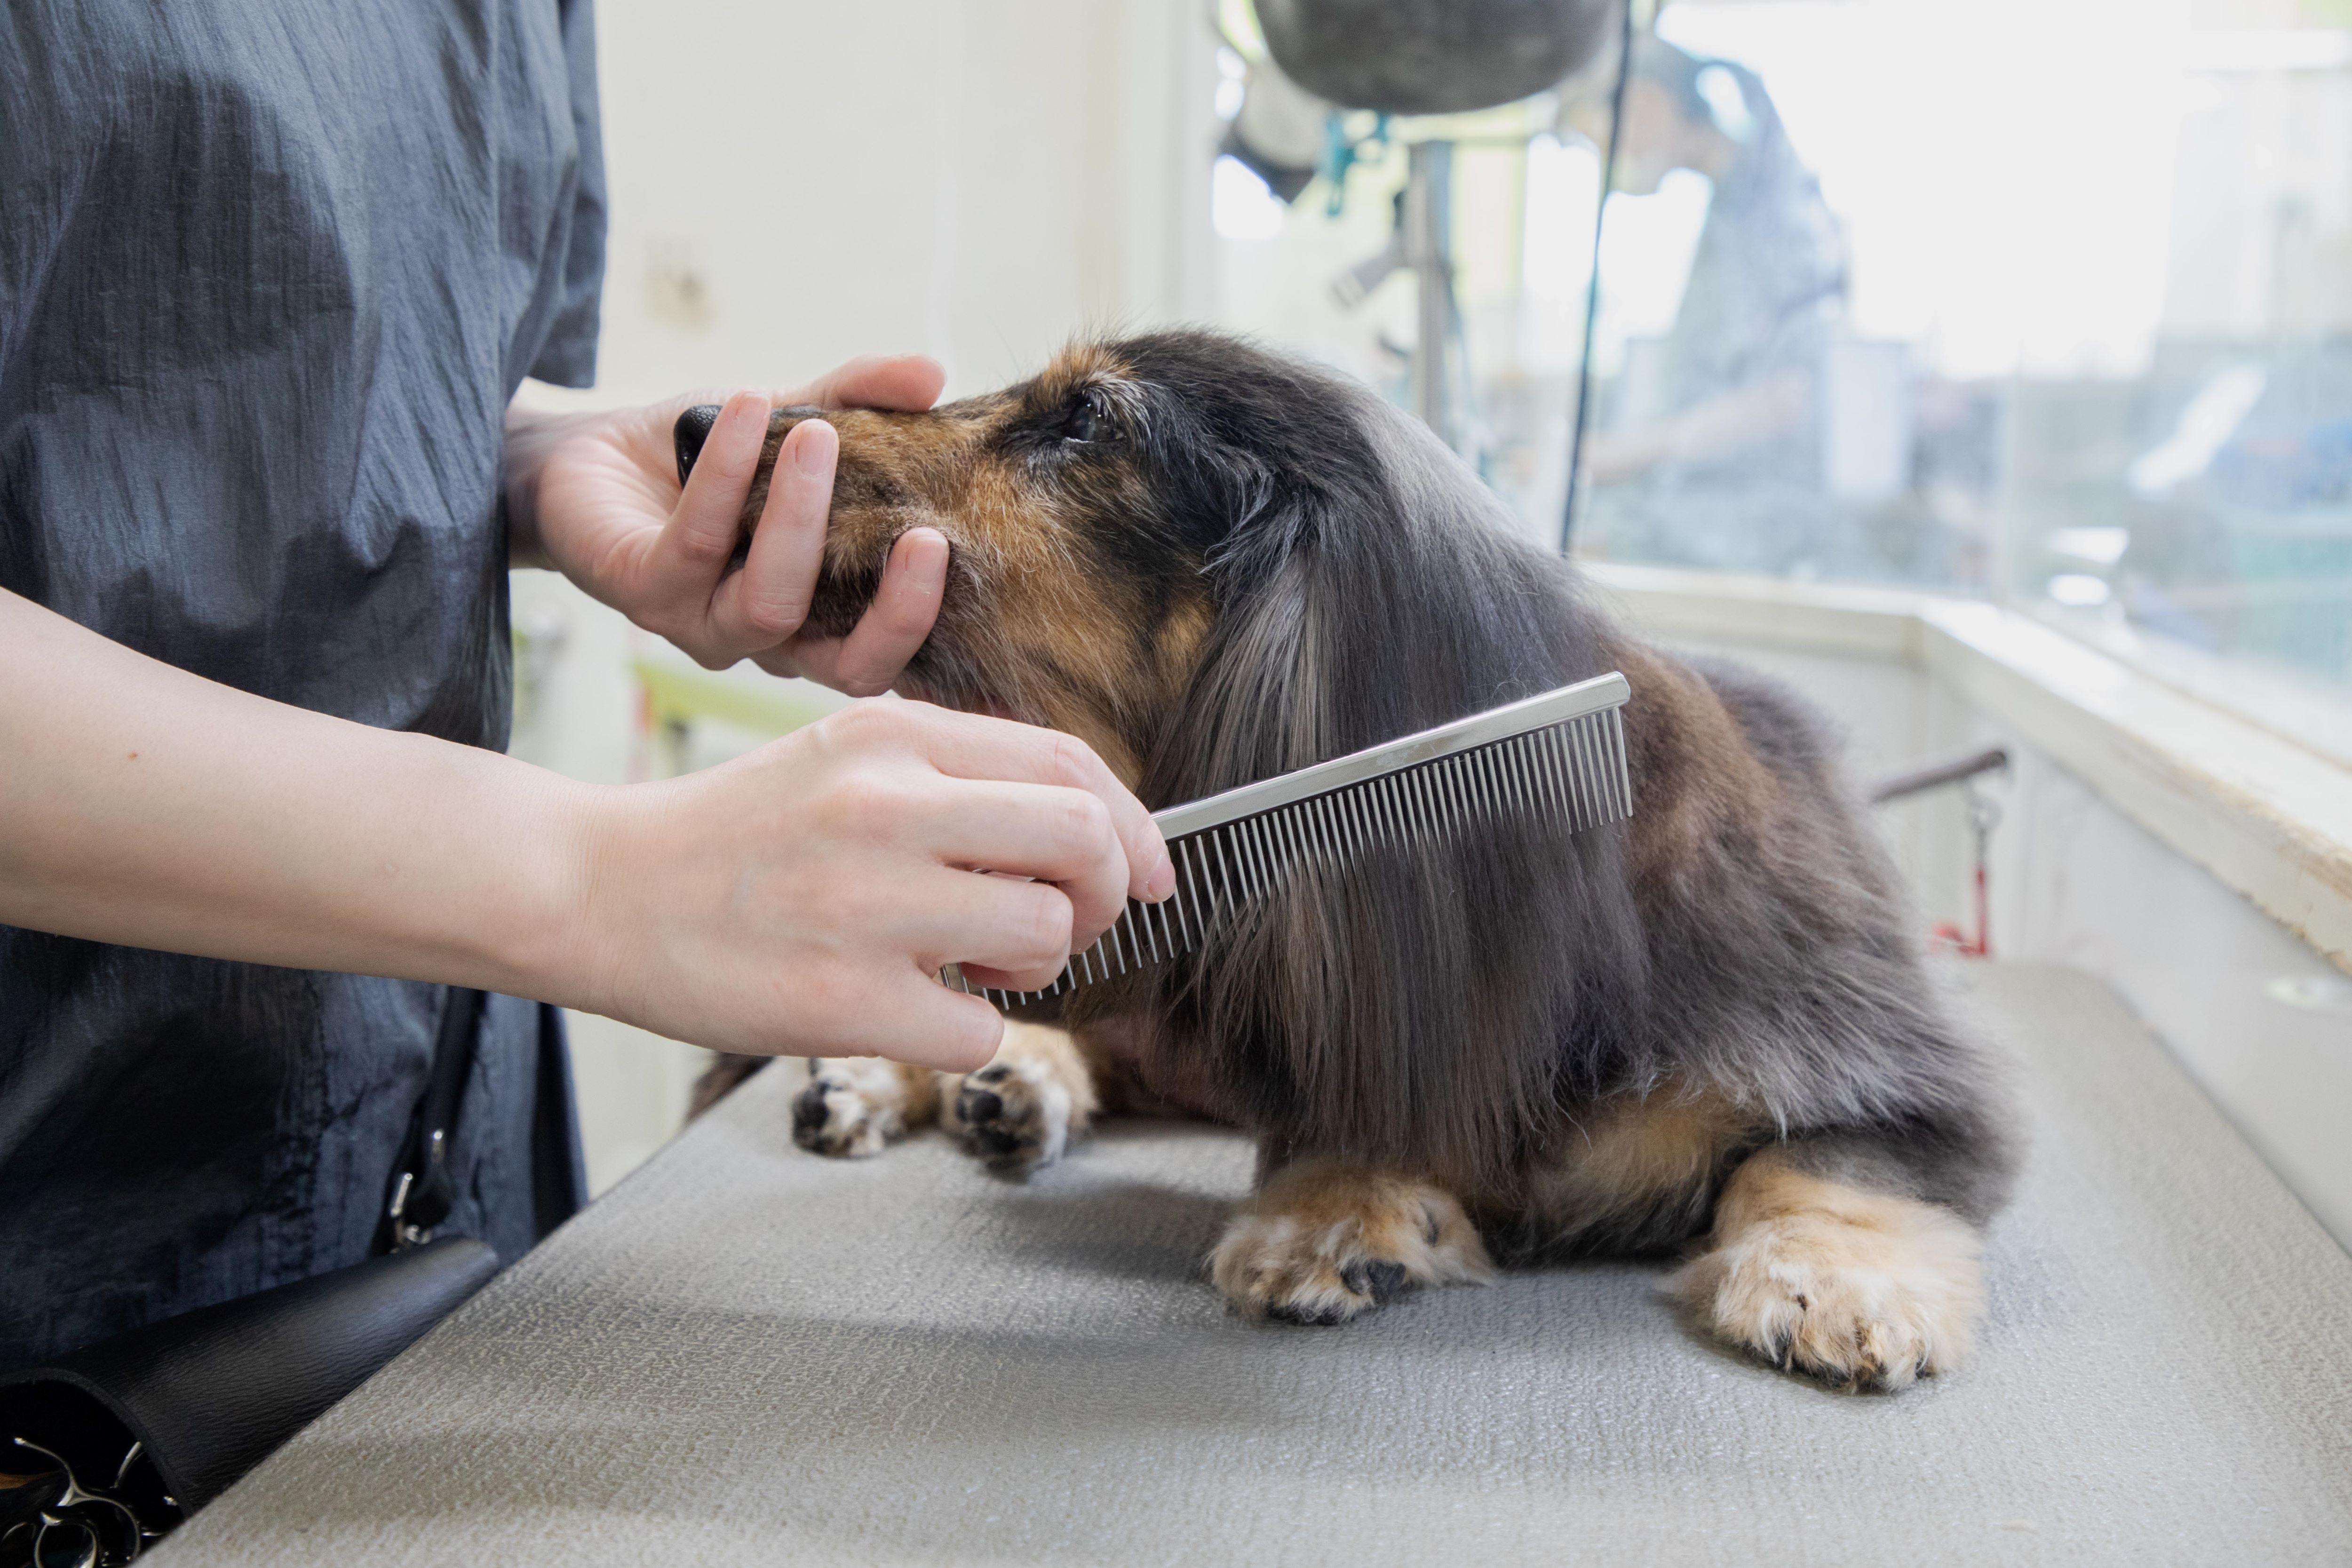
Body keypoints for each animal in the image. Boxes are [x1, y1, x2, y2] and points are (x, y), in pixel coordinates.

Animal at [687, 338, 2023, 1392]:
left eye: (1085, 420)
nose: (700, 424)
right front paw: (1335, 1206)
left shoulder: (1893, 1070)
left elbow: (1821, 1162)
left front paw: (1835, 1279)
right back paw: (933, 1078)